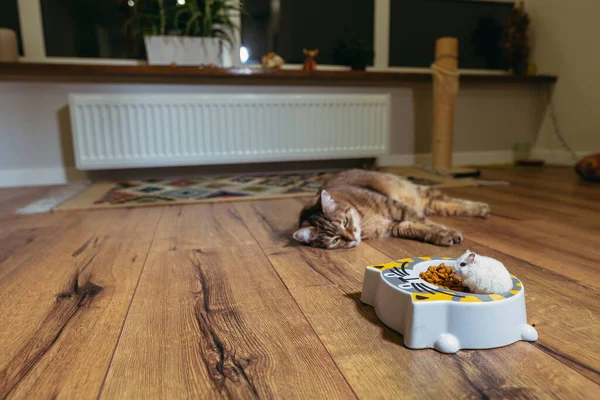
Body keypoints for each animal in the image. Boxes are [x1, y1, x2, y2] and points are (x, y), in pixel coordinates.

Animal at [292, 170, 490, 250]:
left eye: (345, 222)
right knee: (445, 204)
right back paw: (481, 210)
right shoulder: (394, 226)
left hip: (417, 192)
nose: (352, 238)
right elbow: (416, 228)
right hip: (429, 202)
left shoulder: (395, 206)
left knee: (449, 199)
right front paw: (440, 235)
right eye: (334, 240)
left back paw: (482, 207)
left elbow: (424, 221)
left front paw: (449, 231)